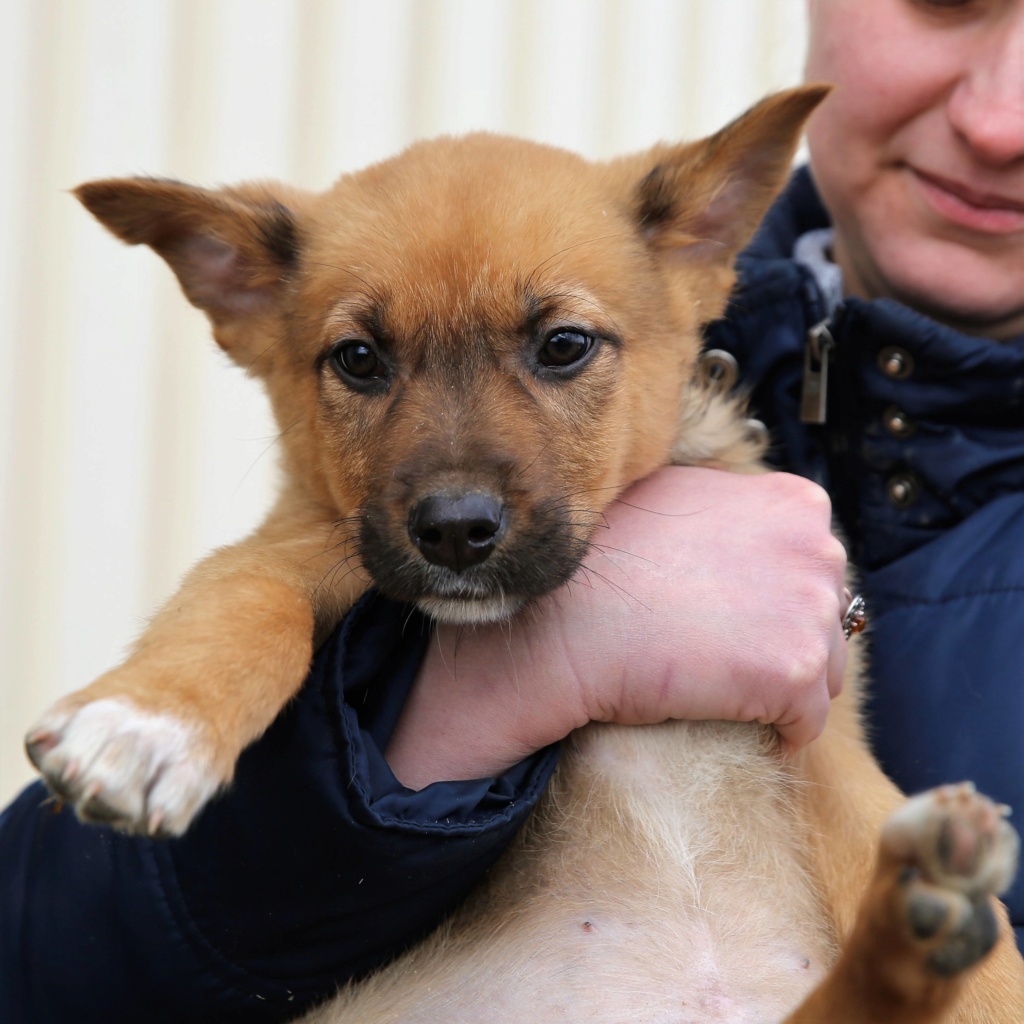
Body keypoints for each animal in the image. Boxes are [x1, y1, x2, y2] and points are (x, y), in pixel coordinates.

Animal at [24, 90, 1024, 1024]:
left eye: (563, 345)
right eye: (357, 359)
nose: (454, 530)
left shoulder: (825, 739)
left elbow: (939, 896)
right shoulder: (298, 545)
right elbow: (245, 604)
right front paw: (148, 724)